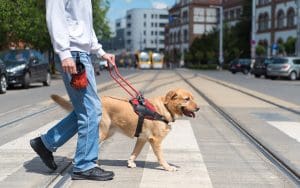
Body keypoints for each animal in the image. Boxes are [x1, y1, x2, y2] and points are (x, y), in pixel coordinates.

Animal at [51, 89, 199, 171]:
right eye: (186, 99)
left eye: (193, 98)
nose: (198, 108)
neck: (165, 108)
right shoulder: (155, 141)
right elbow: (161, 157)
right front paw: (167, 167)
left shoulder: (142, 139)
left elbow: (135, 153)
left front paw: (130, 162)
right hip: (102, 132)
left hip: (107, 133)